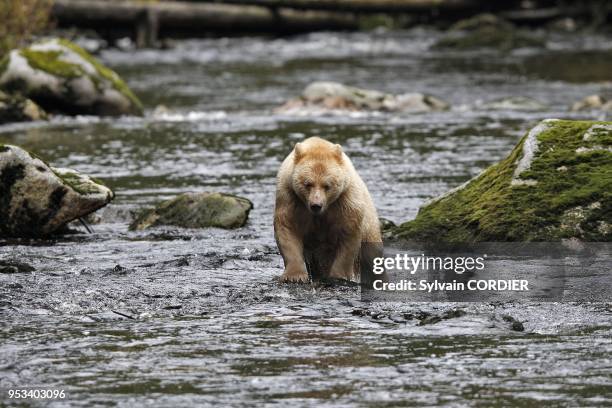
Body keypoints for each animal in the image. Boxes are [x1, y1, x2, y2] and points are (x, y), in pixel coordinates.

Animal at [274, 135, 380, 282]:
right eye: (308, 184)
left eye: (327, 185)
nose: (316, 205)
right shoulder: (290, 197)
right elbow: (288, 229)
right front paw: (295, 276)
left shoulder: (345, 201)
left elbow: (348, 236)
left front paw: (339, 275)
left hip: (370, 229)